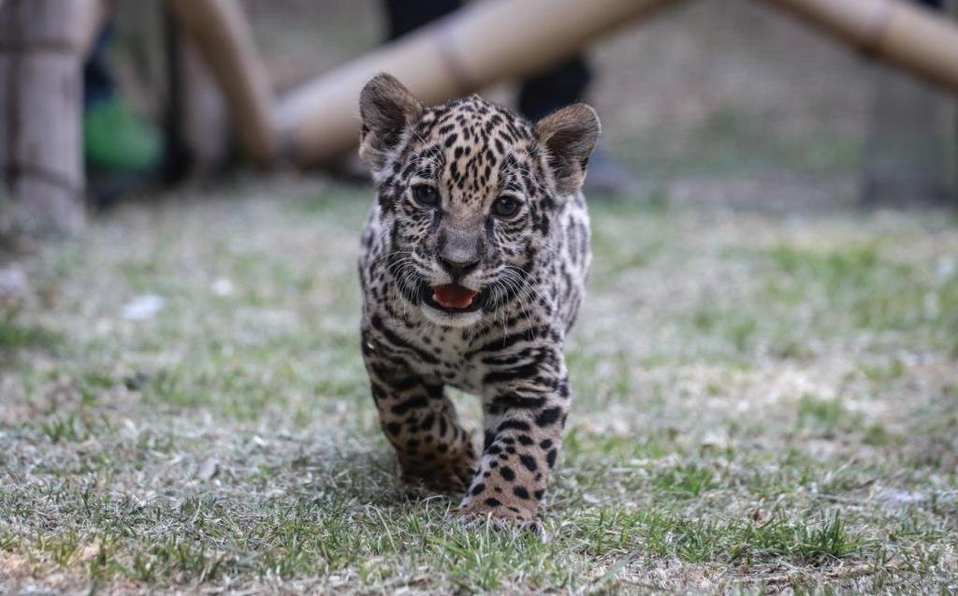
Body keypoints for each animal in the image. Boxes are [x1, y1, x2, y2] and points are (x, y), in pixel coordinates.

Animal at [357, 73, 598, 529]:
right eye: (426, 195)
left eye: (505, 205)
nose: (458, 263)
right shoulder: (386, 352)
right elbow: (411, 417)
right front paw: (444, 469)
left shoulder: (534, 373)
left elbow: (521, 451)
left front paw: (495, 512)